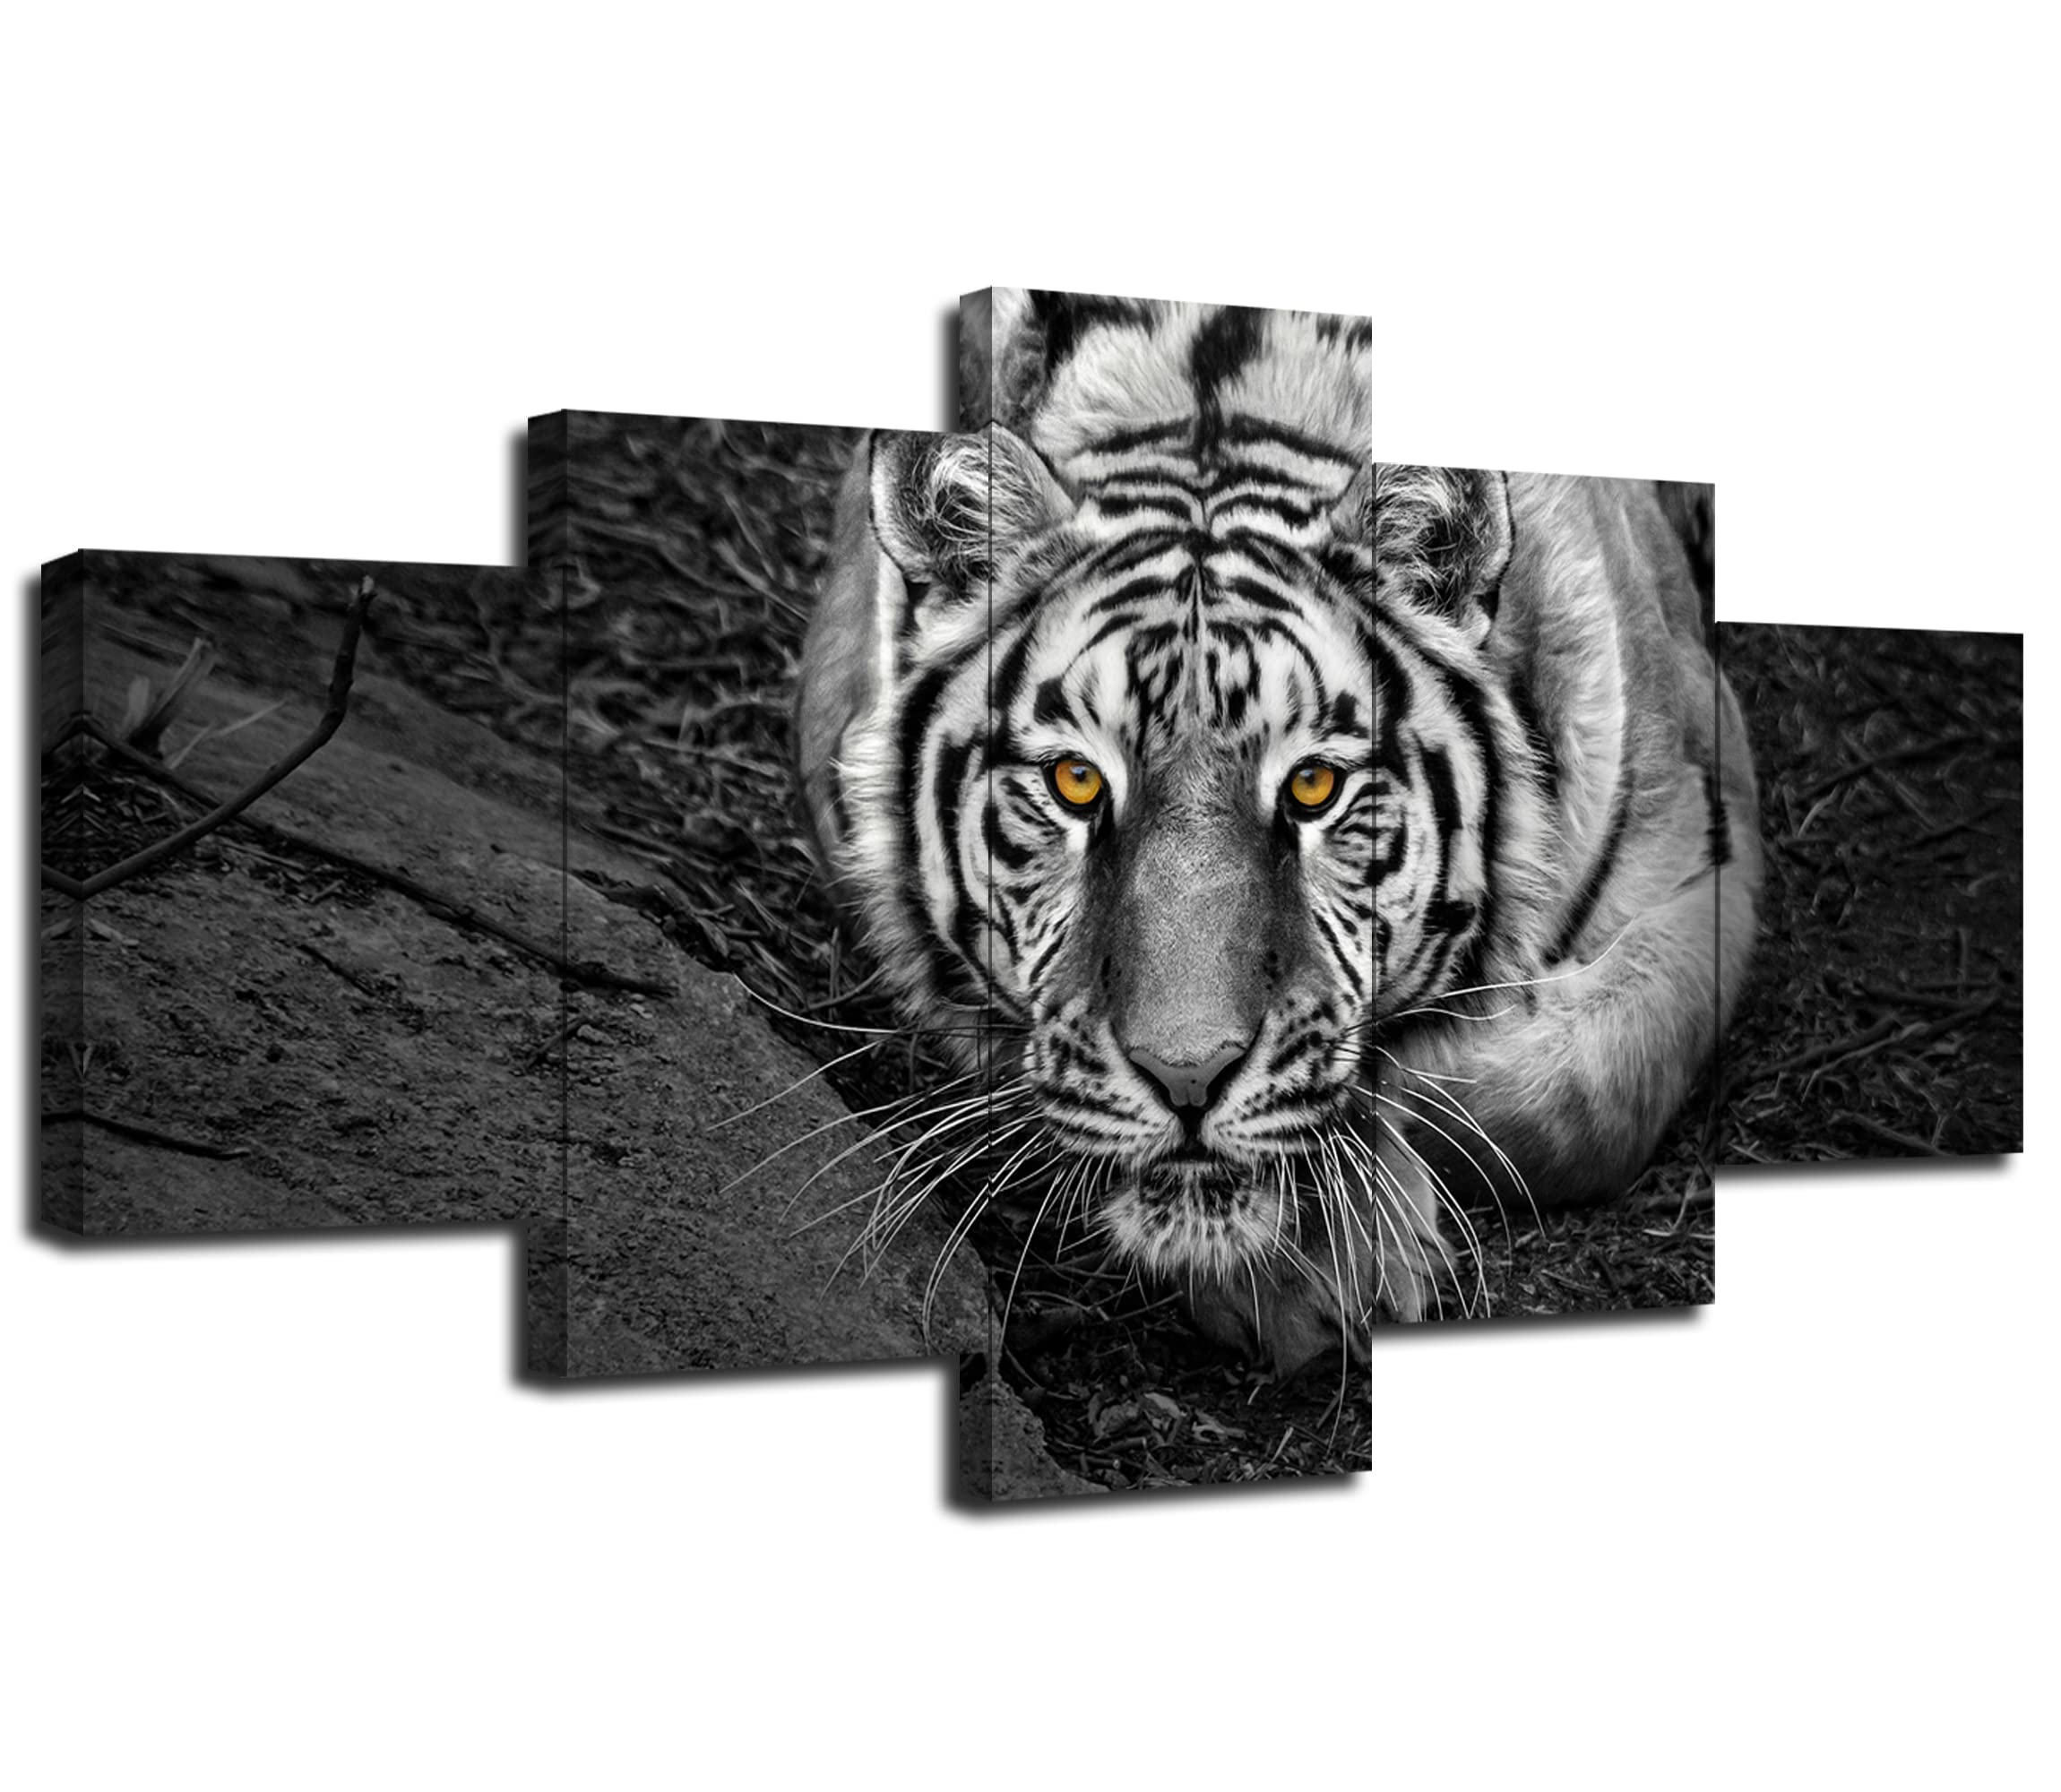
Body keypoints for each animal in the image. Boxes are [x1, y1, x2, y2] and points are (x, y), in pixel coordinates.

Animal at [794, 287, 1760, 1370]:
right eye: (1076, 781)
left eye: (1312, 787)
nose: (1186, 1077)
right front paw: (1313, 1257)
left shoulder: (1704, 830)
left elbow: (1590, 1082)